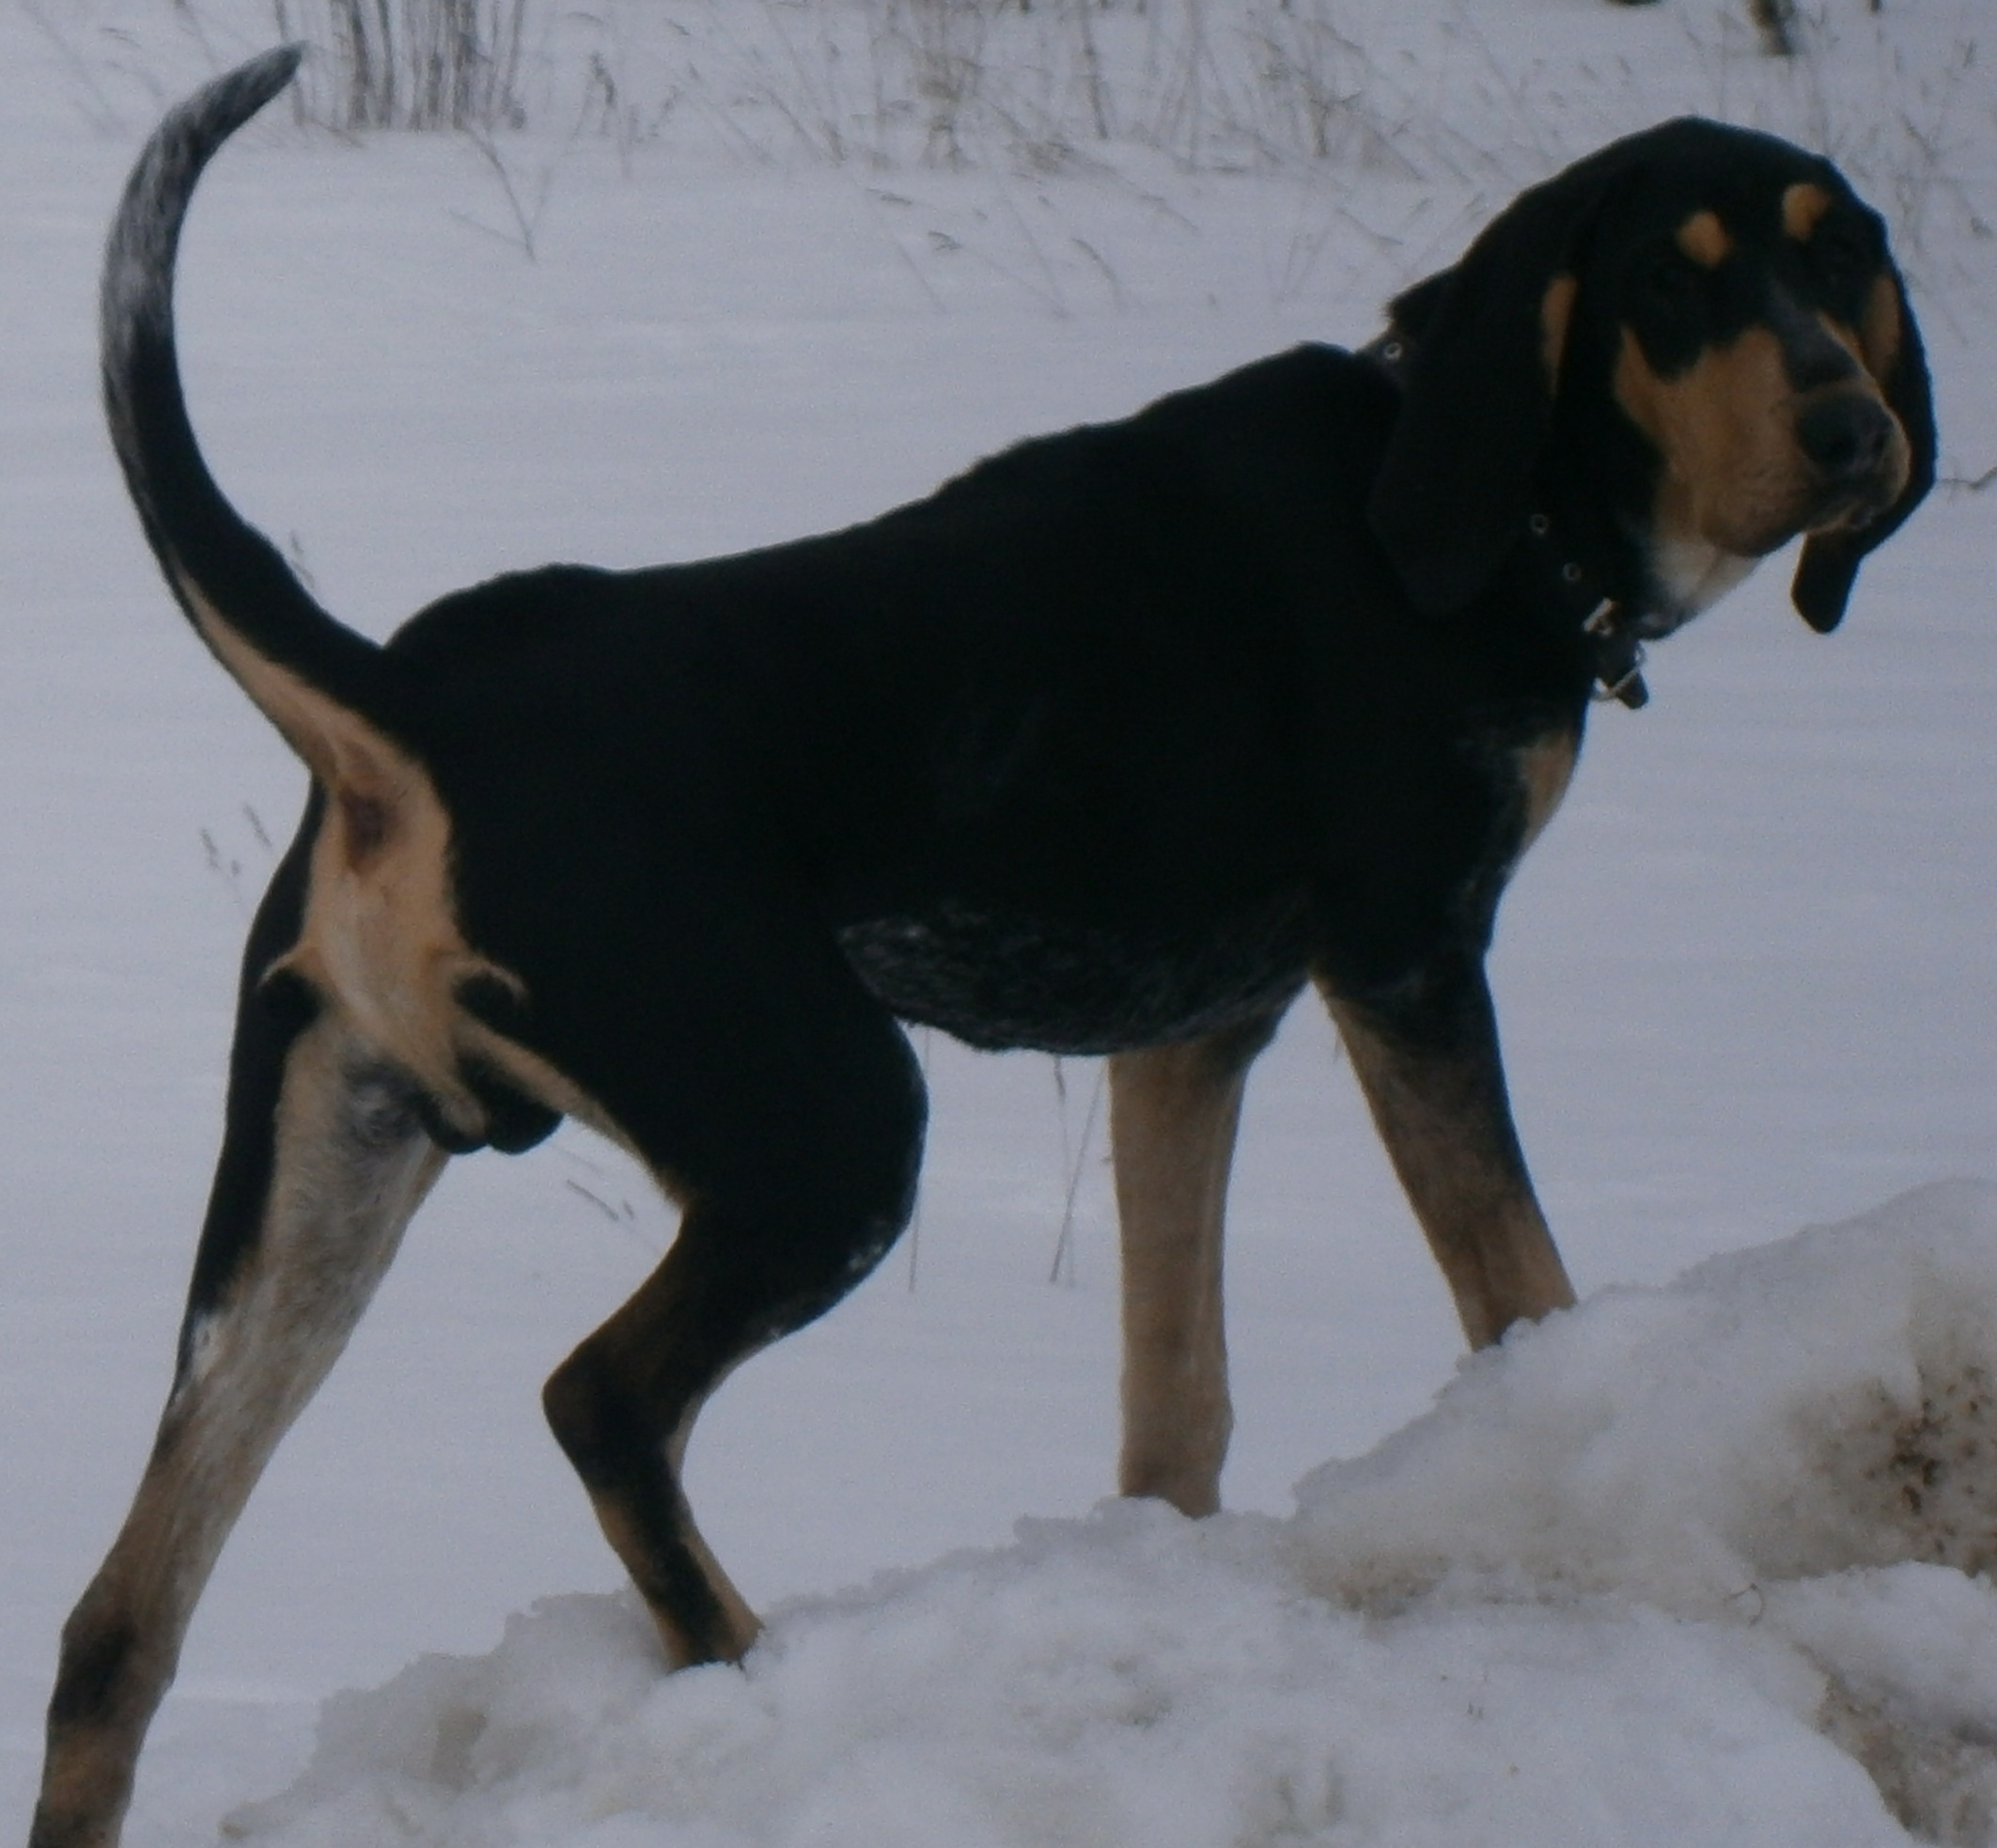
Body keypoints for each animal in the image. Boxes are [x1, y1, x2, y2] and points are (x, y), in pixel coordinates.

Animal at [33, 45, 1933, 1848]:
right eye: (1672, 283)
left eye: (1840, 261)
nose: (1855, 431)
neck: (1473, 506)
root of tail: (406, 700)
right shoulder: (1409, 961)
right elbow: (1518, 1287)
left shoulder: (1193, 1037)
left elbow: (1179, 1401)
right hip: (832, 1131)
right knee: (600, 1403)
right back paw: (749, 1673)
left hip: (315, 1189)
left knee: (119, 1624)